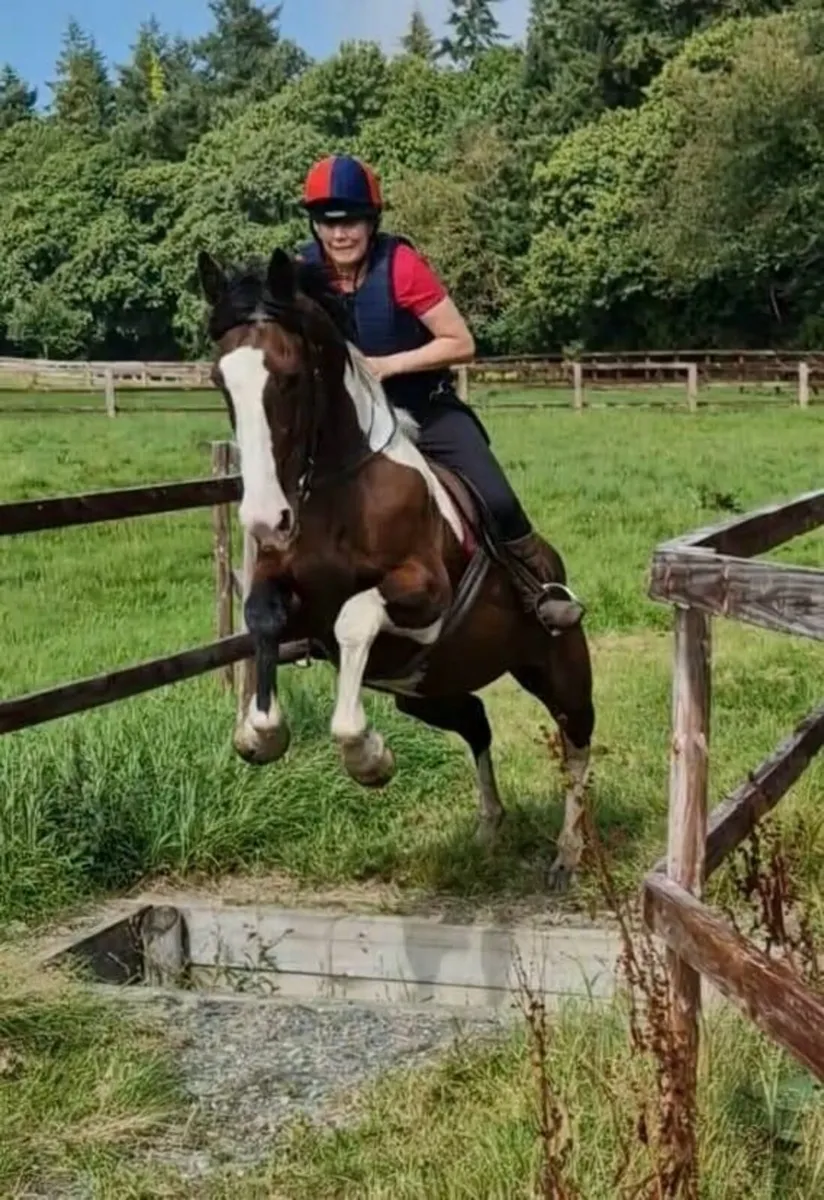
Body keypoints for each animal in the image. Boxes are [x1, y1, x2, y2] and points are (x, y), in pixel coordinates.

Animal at [197, 247, 595, 890]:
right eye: (220, 381)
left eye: (290, 376)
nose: (264, 520)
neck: (338, 485)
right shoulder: (287, 594)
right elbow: (261, 618)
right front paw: (260, 735)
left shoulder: (425, 593)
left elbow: (355, 619)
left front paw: (369, 759)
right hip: (427, 691)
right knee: (476, 720)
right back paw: (490, 826)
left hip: (557, 667)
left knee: (576, 741)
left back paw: (568, 854)